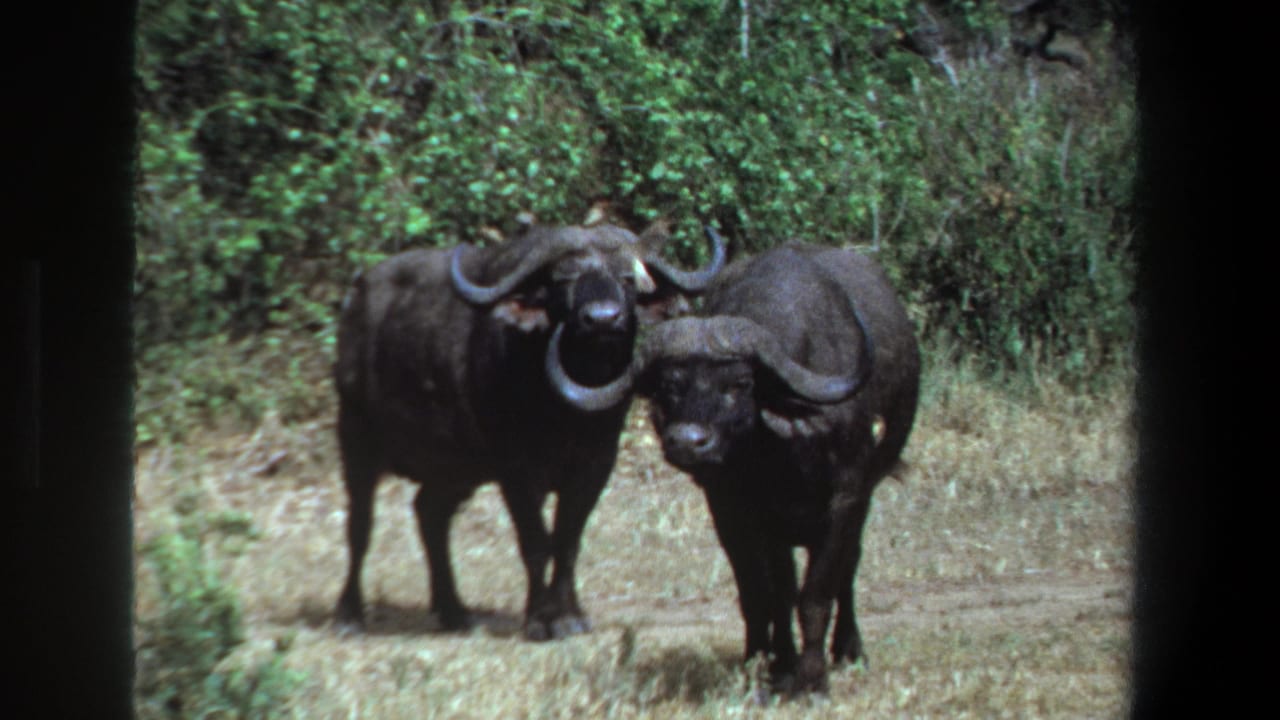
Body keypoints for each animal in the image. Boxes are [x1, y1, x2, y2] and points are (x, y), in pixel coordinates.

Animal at [333, 218, 724, 640]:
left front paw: (569, 615)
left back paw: (455, 611)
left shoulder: (595, 466)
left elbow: (568, 542)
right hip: (356, 437)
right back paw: (349, 615)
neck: (567, 409)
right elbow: (536, 542)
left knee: (430, 513)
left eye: (627, 279)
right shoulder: (517, 472)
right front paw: (539, 618)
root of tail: (356, 299)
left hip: (454, 468)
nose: (603, 318)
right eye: (564, 280)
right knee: (360, 525)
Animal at [566, 242, 920, 692]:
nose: (687, 441)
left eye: (739, 383)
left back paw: (849, 649)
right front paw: (769, 665)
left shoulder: (847, 499)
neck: (781, 452)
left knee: (848, 568)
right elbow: (762, 595)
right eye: (669, 385)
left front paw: (813, 679)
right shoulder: (733, 510)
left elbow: (817, 593)